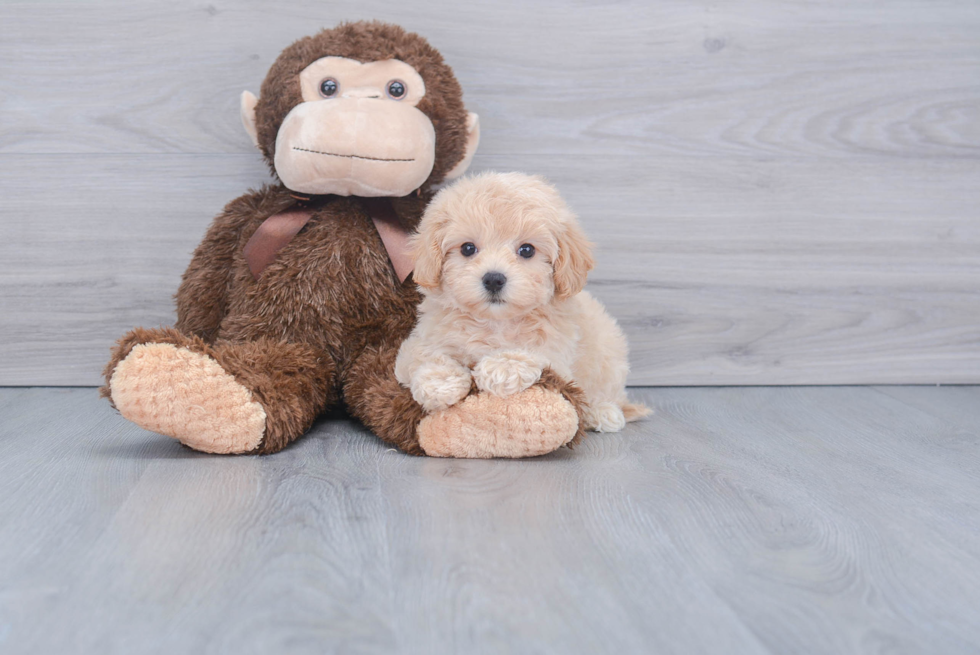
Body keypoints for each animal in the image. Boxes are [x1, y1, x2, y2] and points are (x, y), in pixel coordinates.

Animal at [394, 172, 648, 434]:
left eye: (527, 250)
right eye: (467, 248)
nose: (494, 279)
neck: (495, 322)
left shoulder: (557, 352)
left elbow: (532, 350)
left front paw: (499, 368)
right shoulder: (421, 339)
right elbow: (424, 353)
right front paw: (440, 381)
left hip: (610, 356)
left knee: (607, 394)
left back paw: (602, 412)